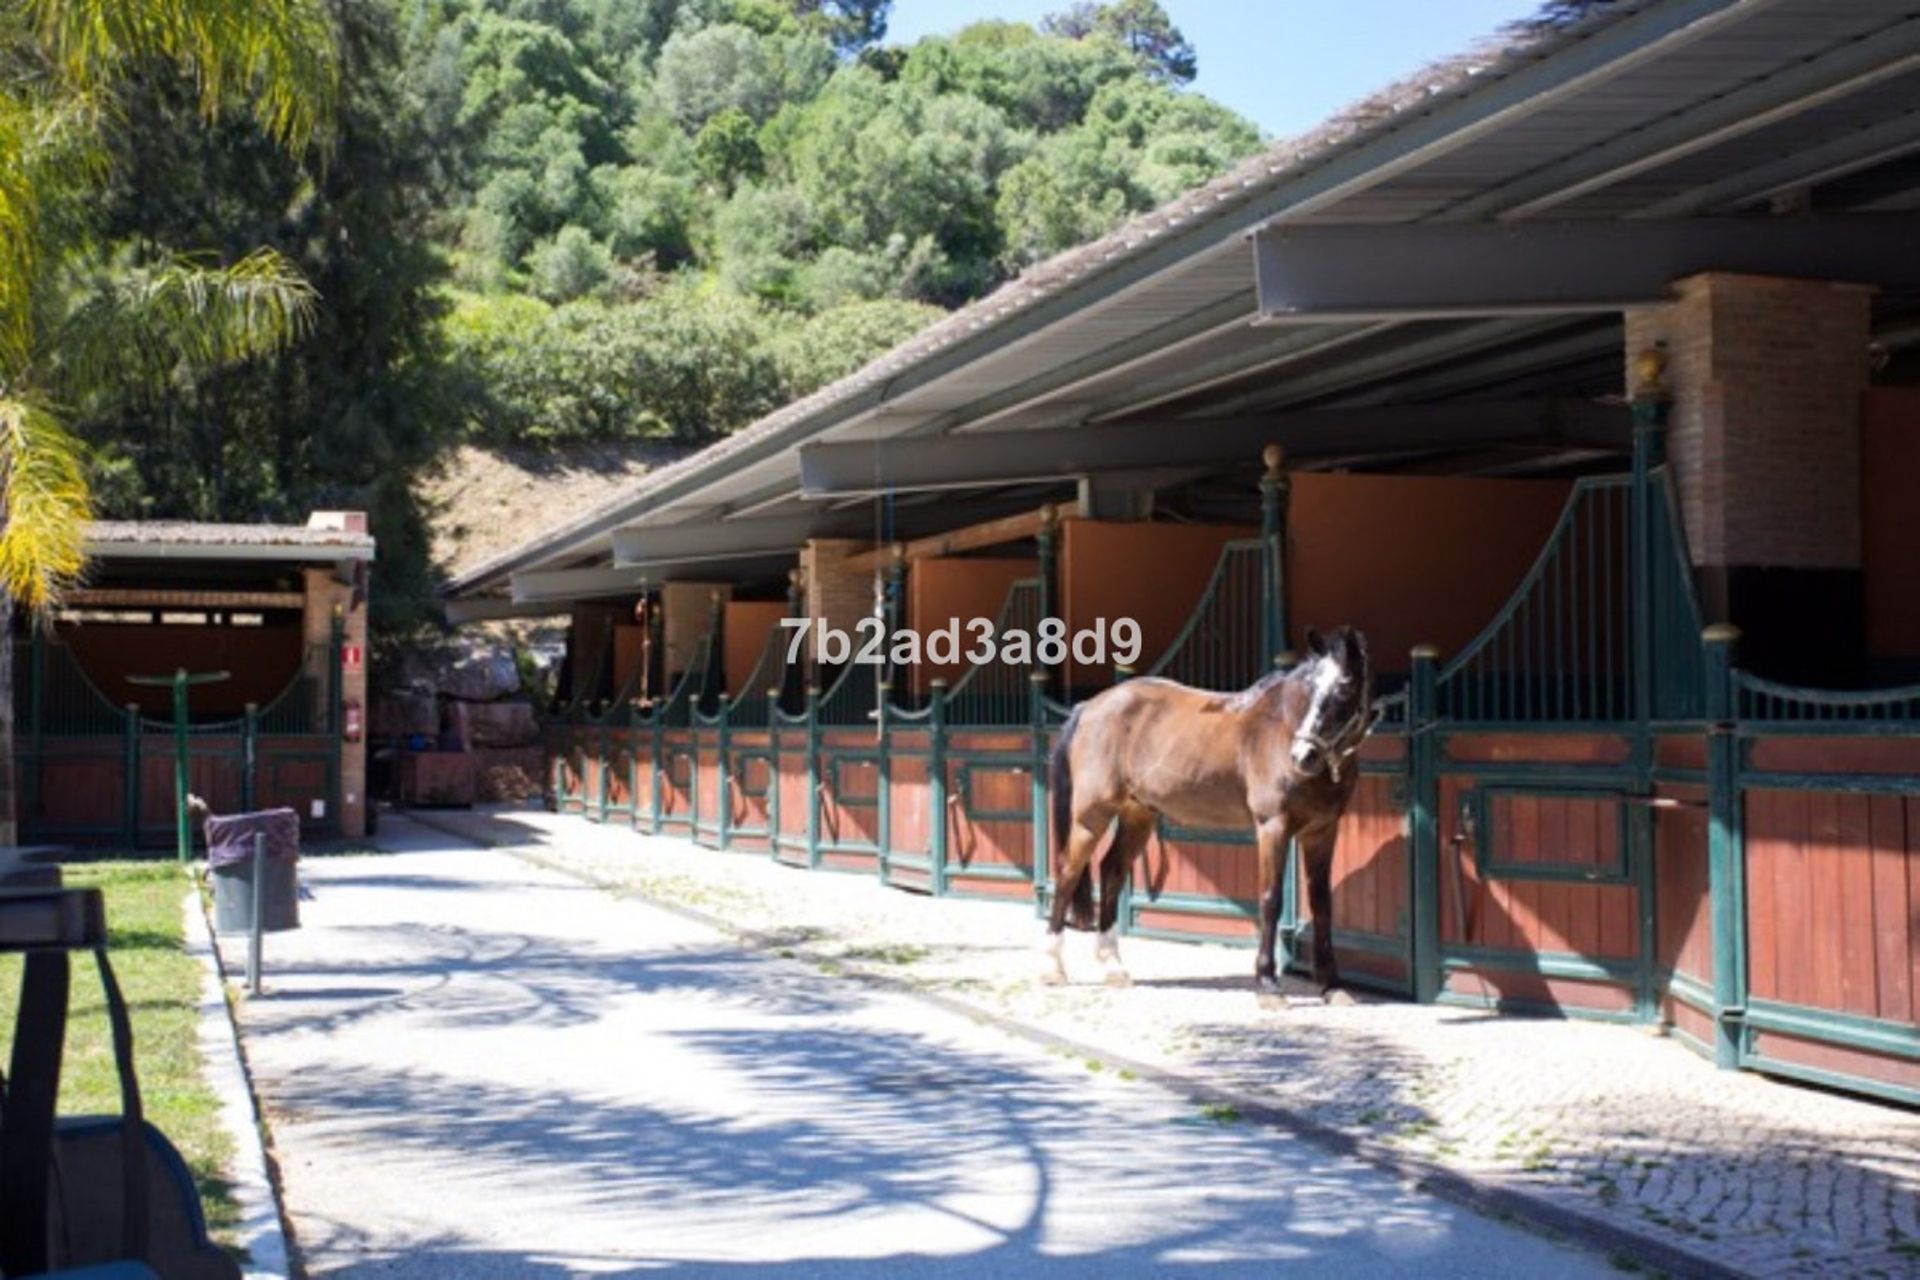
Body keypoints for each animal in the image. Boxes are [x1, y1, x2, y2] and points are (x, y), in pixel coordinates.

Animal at [1044, 625, 1374, 997]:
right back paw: (1052, 967)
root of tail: (1089, 706)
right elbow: (1270, 898)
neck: (1280, 725)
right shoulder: (1272, 826)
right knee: (1068, 872)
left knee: (1111, 871)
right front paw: (1267, 982)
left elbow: (1321, 903)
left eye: (1345, 686)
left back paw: (1114, 967)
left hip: (1137, 816)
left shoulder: (1322, 830)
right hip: (1091, 815)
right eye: (1310, 688)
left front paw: (1331, 985)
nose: (1303, 756)